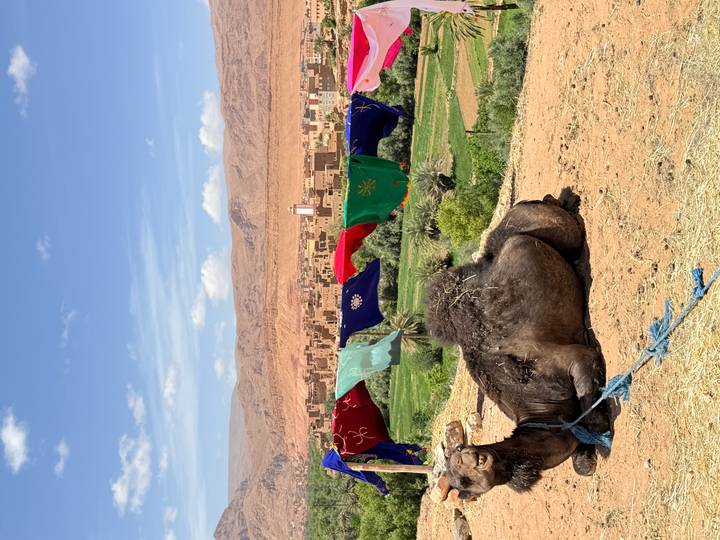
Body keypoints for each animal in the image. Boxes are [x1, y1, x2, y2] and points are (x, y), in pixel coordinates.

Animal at [425, 189, 610, 500]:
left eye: (465, 471)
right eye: (464, 483)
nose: (478, 460)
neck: (543, 408)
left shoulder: (577, 358)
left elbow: (592, 414)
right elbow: (582, 460)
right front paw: (587, 456)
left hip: (553, 229)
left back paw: (565, 202)